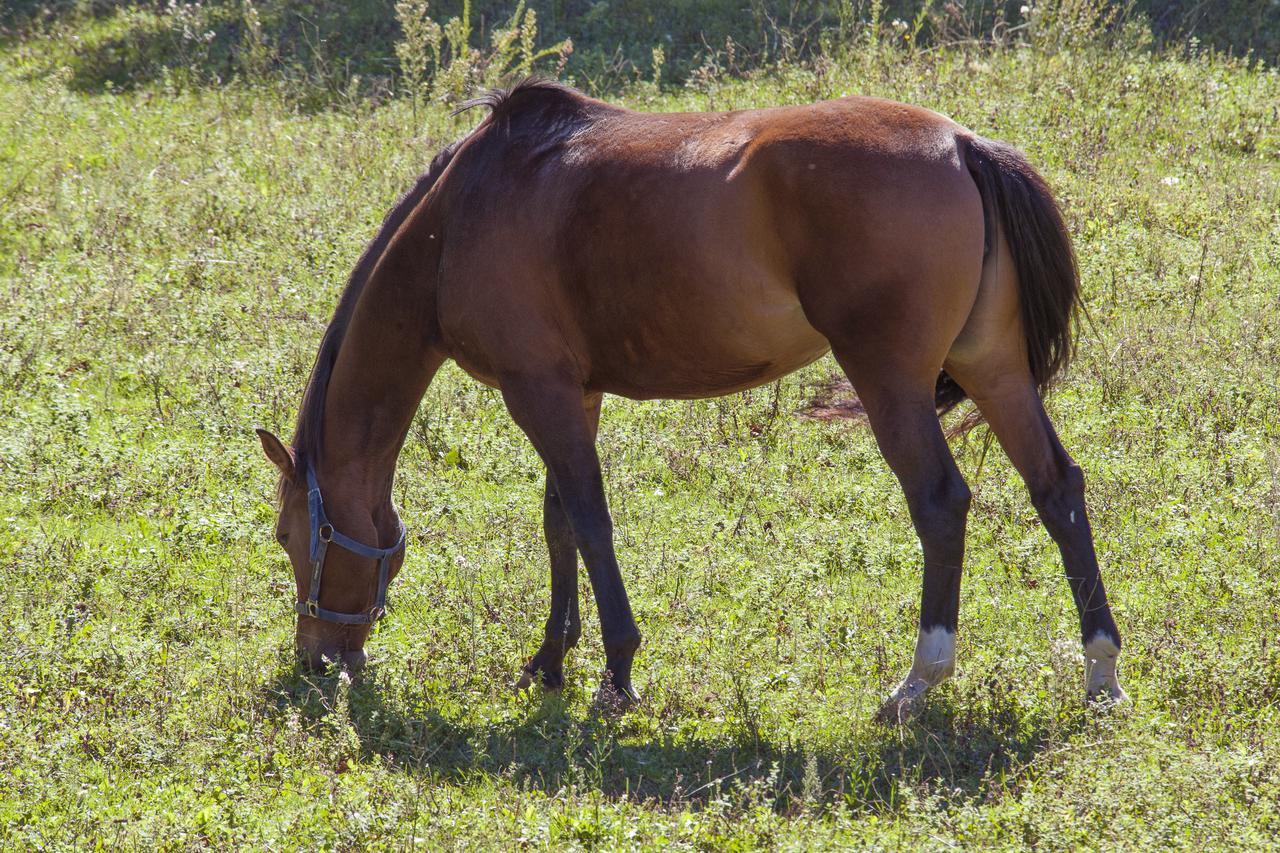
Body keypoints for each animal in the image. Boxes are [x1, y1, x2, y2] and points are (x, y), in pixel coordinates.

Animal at [254, 78, 1126, 717]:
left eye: (291, 536)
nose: (318, 658)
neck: (463, 213)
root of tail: (961, 144)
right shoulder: (575, 392)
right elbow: (559, 523)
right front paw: (549, 660)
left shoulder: (538, 393)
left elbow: (590, 522)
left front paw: (616, 672)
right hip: (994, 369)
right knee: (1058, 488)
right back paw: (1100, 669)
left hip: (893, 384)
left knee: (942, 503)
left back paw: (919, 680)